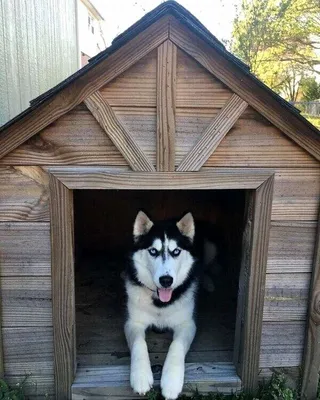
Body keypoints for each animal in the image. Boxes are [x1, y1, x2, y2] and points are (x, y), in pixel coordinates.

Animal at [124, 211, 218, 398]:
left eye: (176, 251)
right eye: (153, 251)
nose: (166, 280)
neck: (160, 303)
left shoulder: (187, 324)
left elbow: (177, 345)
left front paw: (171, 382)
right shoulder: (133, 323)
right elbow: (139, 343)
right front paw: (140, 376)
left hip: (211, 247)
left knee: (203, 267)